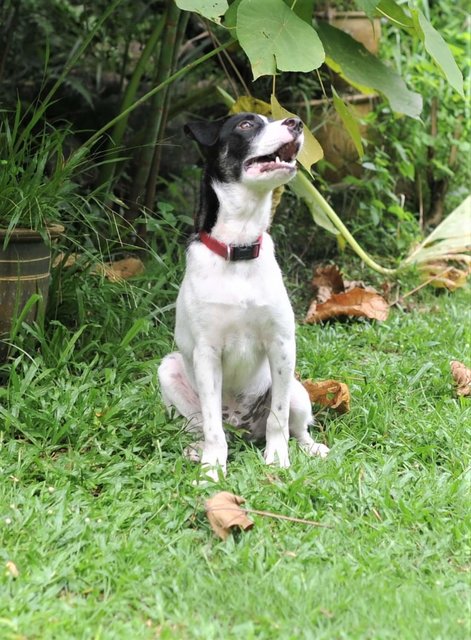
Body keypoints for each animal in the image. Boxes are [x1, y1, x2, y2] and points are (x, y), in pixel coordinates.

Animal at [159, 111, 328, 480]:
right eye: (246, 125)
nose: (296, 122)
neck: (238, 248)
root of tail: (241, 425)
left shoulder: (282, 343)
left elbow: (278, 419)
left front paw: (277, 459)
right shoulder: (207, 353)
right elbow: (211, 428)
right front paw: (212, 468)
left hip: (297, 390)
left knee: (298, 427)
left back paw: (310, 448)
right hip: (169, 370)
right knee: (200, 425)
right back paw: (197, 449)